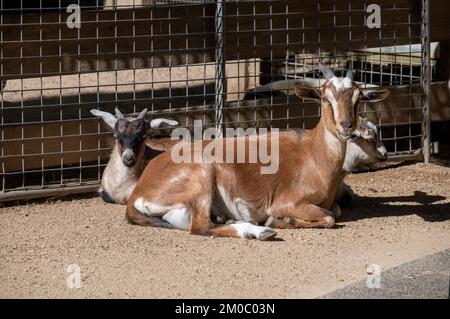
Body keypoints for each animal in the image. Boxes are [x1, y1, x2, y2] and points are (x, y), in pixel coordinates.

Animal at [126, 65, 390, 240]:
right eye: (325, 98)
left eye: (358, 99)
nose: (346, 126)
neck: (314, 155)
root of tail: (140, 189)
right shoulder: (287, 201)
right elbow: (329, 216)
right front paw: (281, 220)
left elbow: (334, 210)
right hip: (201, 177)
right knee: (200, 227)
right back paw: (260, 231)